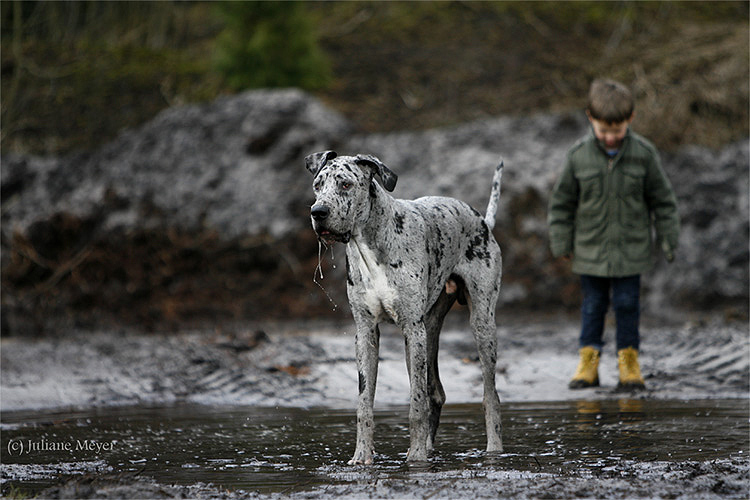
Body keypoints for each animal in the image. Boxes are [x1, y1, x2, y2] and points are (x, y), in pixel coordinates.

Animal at [306, 150, 506, 462]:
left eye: (345, 184)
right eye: (318, 184)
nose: (318, 212)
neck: (371, 246)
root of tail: (483, 222)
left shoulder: (412, 329)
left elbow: (416, 402)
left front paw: (417, 458)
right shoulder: (366, 333)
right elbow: (364, 402)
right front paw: (361, 456)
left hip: (480, 326)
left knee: (490, 395)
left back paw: (492, 450)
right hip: (429, 332)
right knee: (435, 392)